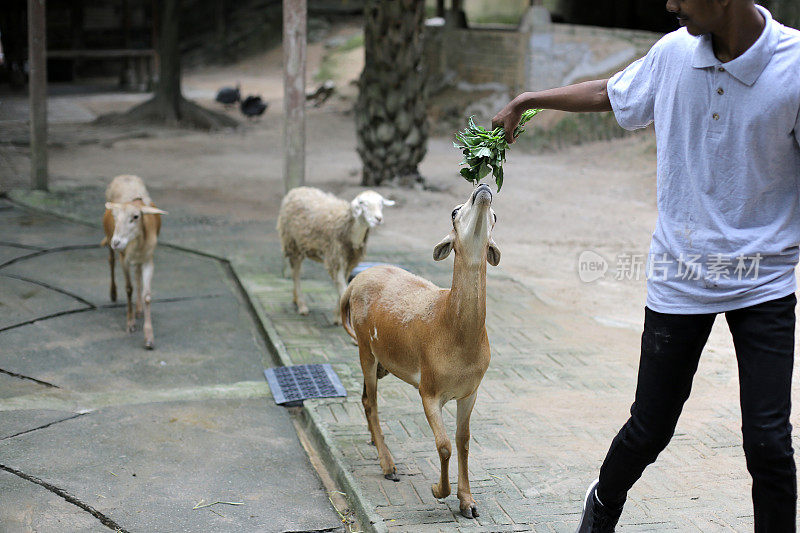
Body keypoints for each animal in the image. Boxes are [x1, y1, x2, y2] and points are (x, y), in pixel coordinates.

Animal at [101, 175, 167, 350]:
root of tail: (125, 175)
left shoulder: (149, 259)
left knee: (137, 274)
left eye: (136, 216)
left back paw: (138, 309)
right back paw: (113, 293)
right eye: (115, 216)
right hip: (110, 240)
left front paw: (149, 338)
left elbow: (147, 296)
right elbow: (129, 288)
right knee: (111, 260)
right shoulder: (124, 258)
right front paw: (130, 324)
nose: (117, 242)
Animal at [276, 185, 396, 322]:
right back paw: (302, 306)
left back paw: (295, 299)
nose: (378, 219)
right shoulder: (335, 259)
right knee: (296, 273)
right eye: (362, 203)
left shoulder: (349, 261)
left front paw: (338, 317)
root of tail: (297, 190)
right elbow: (343, 288)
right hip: (292, 243)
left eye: (381, 203)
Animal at [340, 184, 500, 520]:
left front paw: (469, 503)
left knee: (364, 396)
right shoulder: (428, 387)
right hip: (364, 346)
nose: (483, 187)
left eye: (495, 215)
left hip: (381, 362)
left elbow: (464, 441)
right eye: (454, 212)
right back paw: (388, 465)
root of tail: (352, 284)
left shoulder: (472, 390)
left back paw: (373, 441)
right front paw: (438, 490)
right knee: (371, 401)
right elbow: (444, 444)